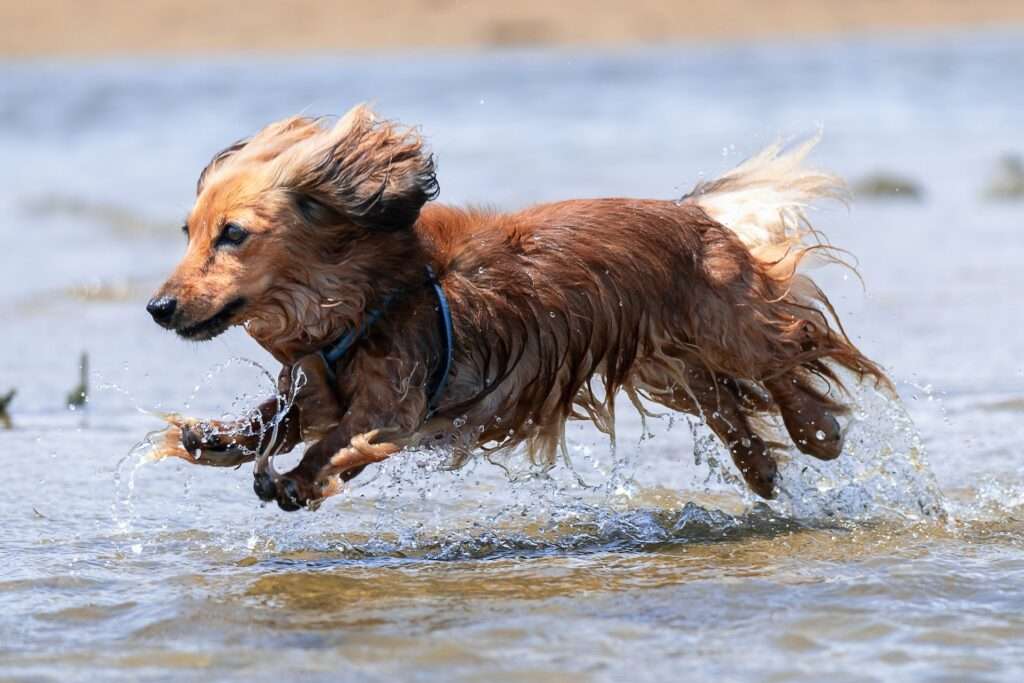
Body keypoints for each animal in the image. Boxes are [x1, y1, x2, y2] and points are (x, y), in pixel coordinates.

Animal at [146, 105, 888, 511]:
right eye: (187, 231)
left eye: (233, 234)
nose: (158, 307)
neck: (361, 297)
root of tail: (695, 215)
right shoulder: (320, 385)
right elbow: (277, 418)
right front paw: (216, 437)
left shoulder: (395, 404)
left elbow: (339, 441)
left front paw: (300, 479)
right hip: (670, 361)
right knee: (727, 400)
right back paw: (760, 468)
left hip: (729, 328)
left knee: (795, 346)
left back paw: (817, 430)